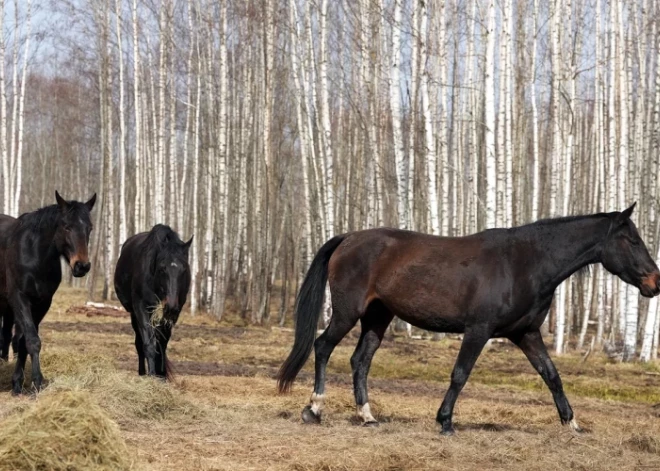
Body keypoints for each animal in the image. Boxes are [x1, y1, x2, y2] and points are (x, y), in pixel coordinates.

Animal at [0, 192, 95, 394]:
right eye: (66, 226)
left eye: (89, 228)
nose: (82, 266)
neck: (35, 256)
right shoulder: (19, 298)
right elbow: (32, 340)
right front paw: (36, 381)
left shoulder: (42, 303)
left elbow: (24, 341)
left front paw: (18, 383)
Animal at [113, 224, 191, 380]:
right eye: (162, 268)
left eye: (184, 269)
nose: (171, 306)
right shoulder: (141, 308)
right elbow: (148, 343)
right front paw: (152, 375)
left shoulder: (172, 314)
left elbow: (162, 344)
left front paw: (162, 376)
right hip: (133, 314)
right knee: (139, 342)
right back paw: (142, 372)